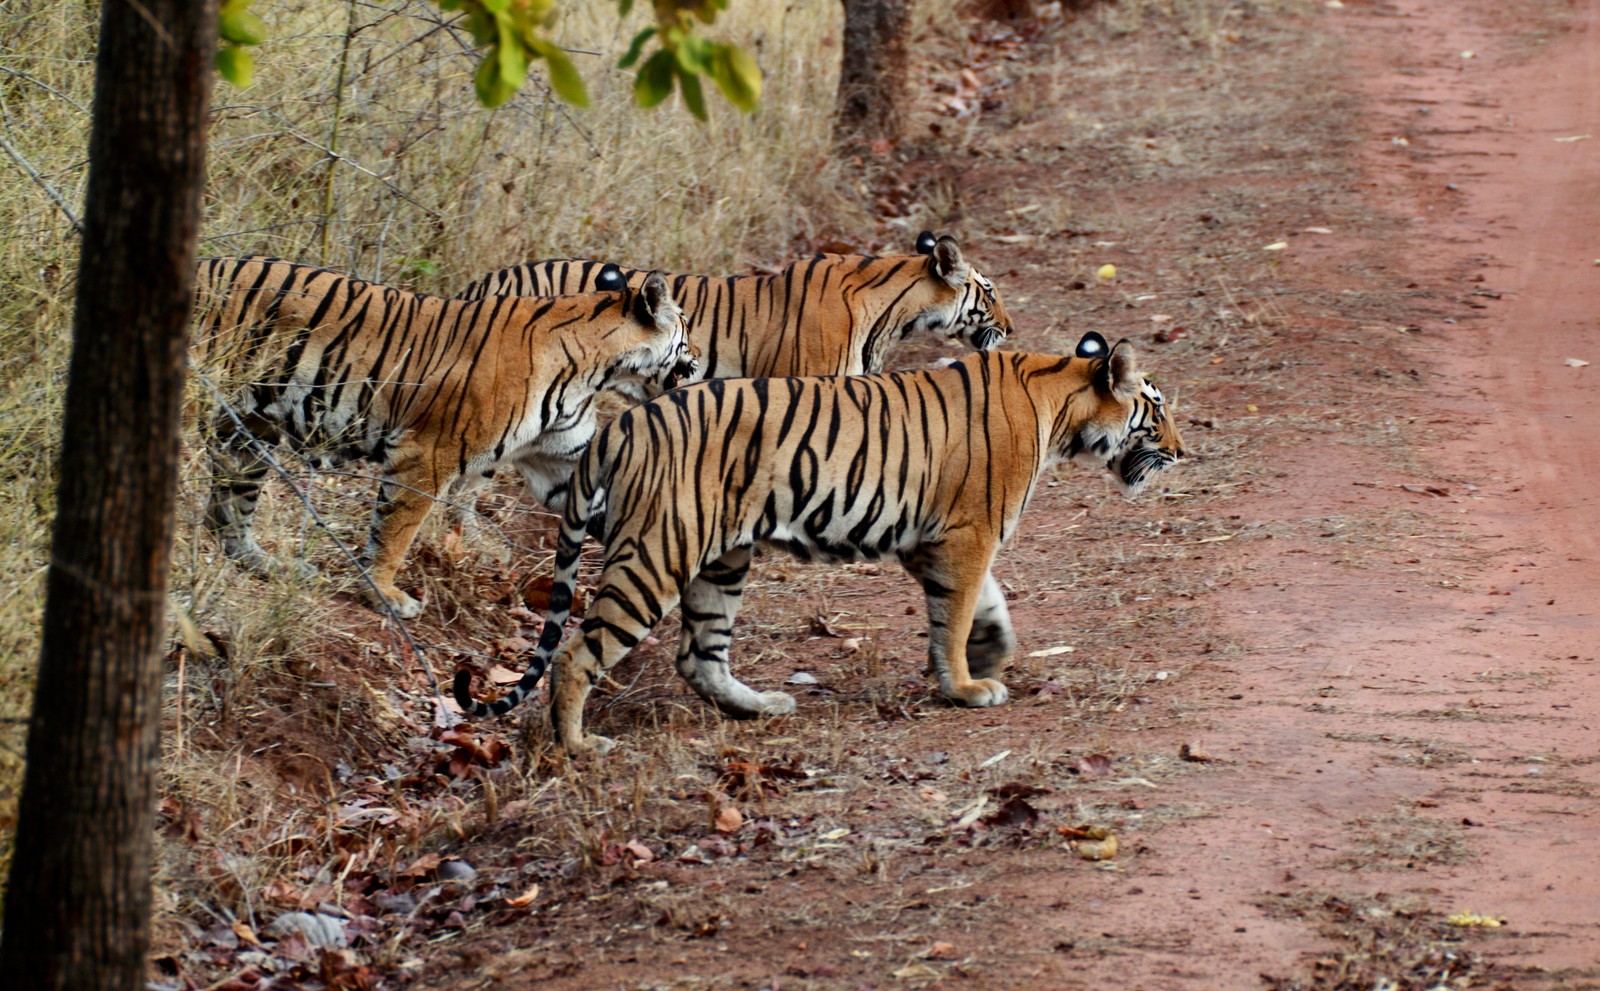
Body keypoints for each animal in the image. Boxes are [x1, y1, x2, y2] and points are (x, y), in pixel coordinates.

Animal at [187, 254, 694, 621]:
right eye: (686, 330)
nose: (698, 365)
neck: (596, 369)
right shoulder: (427, 454)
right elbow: (396, 531)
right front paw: (386, 595)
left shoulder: (562, 462)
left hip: (249, 433)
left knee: (227, 515)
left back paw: (271, 565)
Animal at [454, 333, 1190, 752]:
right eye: (1156, 409)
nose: (1184, 451)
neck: (1059, 403)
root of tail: (623, 425)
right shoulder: (968, 532)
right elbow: (957, 612)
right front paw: (965, 685)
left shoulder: (934, 539)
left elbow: (981, 604)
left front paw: (989, 653)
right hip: (658, 554)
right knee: (579, 652)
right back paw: (579, 746)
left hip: (722, 559)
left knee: (699, 655)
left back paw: (761, 706)